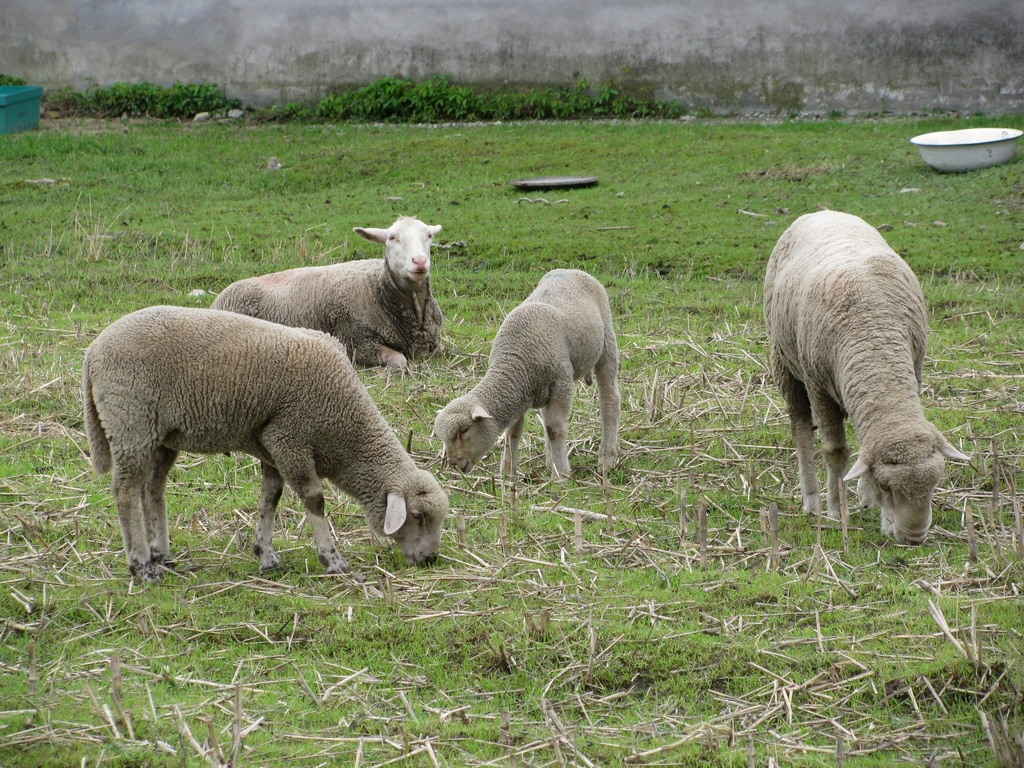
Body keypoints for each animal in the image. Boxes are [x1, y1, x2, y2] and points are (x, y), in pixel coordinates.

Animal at [79, 307, 448, 581]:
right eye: (417, 515)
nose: (430, 559)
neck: (344, 427)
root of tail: (93, 352)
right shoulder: (289, 438)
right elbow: (314, 499)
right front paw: (332, 559)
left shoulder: (272, 446)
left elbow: (271, 497)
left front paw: (266, 555)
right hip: (131, 423)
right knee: (125, 492)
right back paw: (141, 566)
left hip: (161, 434)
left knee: (152, 489)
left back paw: (161, 555)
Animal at [434, 270, 622, 481]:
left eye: (464, 430)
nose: (453, 464)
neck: (516, 360)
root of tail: (572, 270)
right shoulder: (517, 396)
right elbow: (512, 432)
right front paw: (507, 473)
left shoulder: (561, 383)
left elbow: (554, 429)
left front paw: (561, 475)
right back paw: (550, 459)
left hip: (607, 343)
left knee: (609, 400)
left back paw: (606, 458)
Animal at [765, 211, 970, 548]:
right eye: (887, 487)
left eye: (934, 484)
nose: (913, 538)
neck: (875, 336)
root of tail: (823, 211)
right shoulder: (818, 386)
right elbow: (834, 450)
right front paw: (837, 510)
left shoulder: (913, 371)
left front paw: (873, 508)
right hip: (784, 360)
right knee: (800, 427)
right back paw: (811, 500)